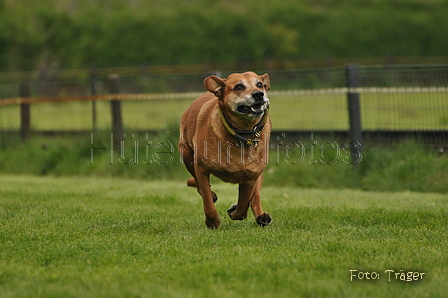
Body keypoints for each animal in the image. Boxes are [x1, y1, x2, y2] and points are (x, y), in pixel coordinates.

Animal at [179, 71, 272, 228]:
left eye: (259, 84)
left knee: (256, 197)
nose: (258, 94)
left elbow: (243, 206)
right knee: (200, 187)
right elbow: (206, 198)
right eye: (239, 86)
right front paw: (212, 221)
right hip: (186, 153)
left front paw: (235, 211)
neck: (242, 134)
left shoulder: (251, 177)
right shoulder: (201, 169)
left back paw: (261, 216)